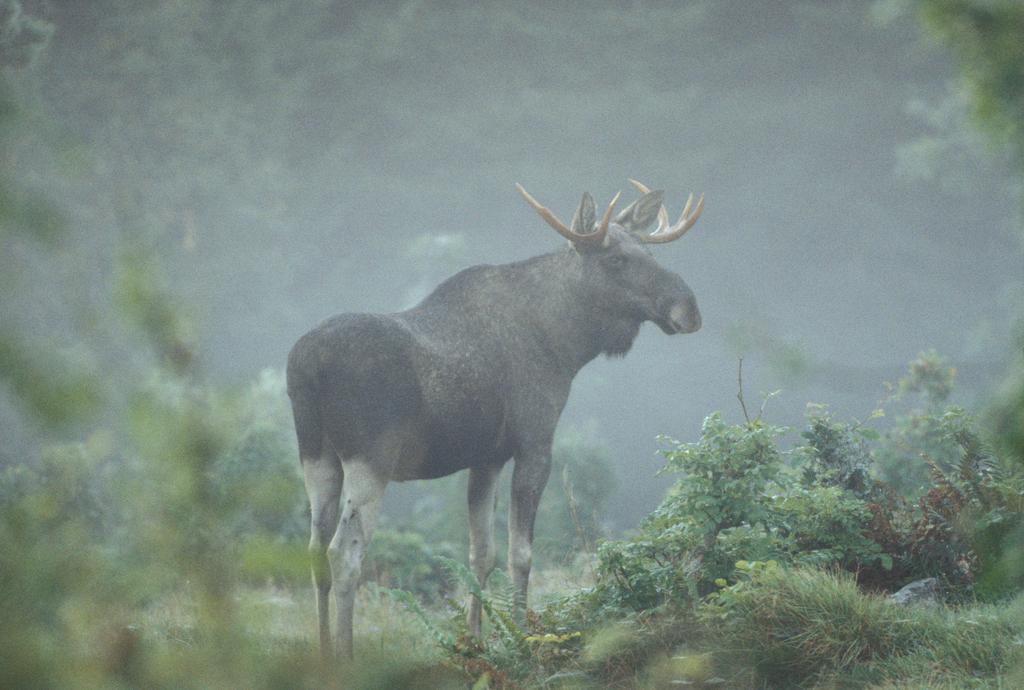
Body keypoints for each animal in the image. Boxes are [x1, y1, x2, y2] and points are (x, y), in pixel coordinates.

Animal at [288, 177, 704, 655]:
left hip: (316, 455)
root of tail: (307, 365)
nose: (689, 308)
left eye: (650, 253)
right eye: (617, 259)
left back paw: (322, 651)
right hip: (370, 459)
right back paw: (346, 654)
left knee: (314, 549)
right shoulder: (535, 440)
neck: (566, 343)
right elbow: (520, 553)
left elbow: (480, 553)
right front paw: (522, 636)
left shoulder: (486, 457)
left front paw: (475, 639)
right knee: (345, 553)